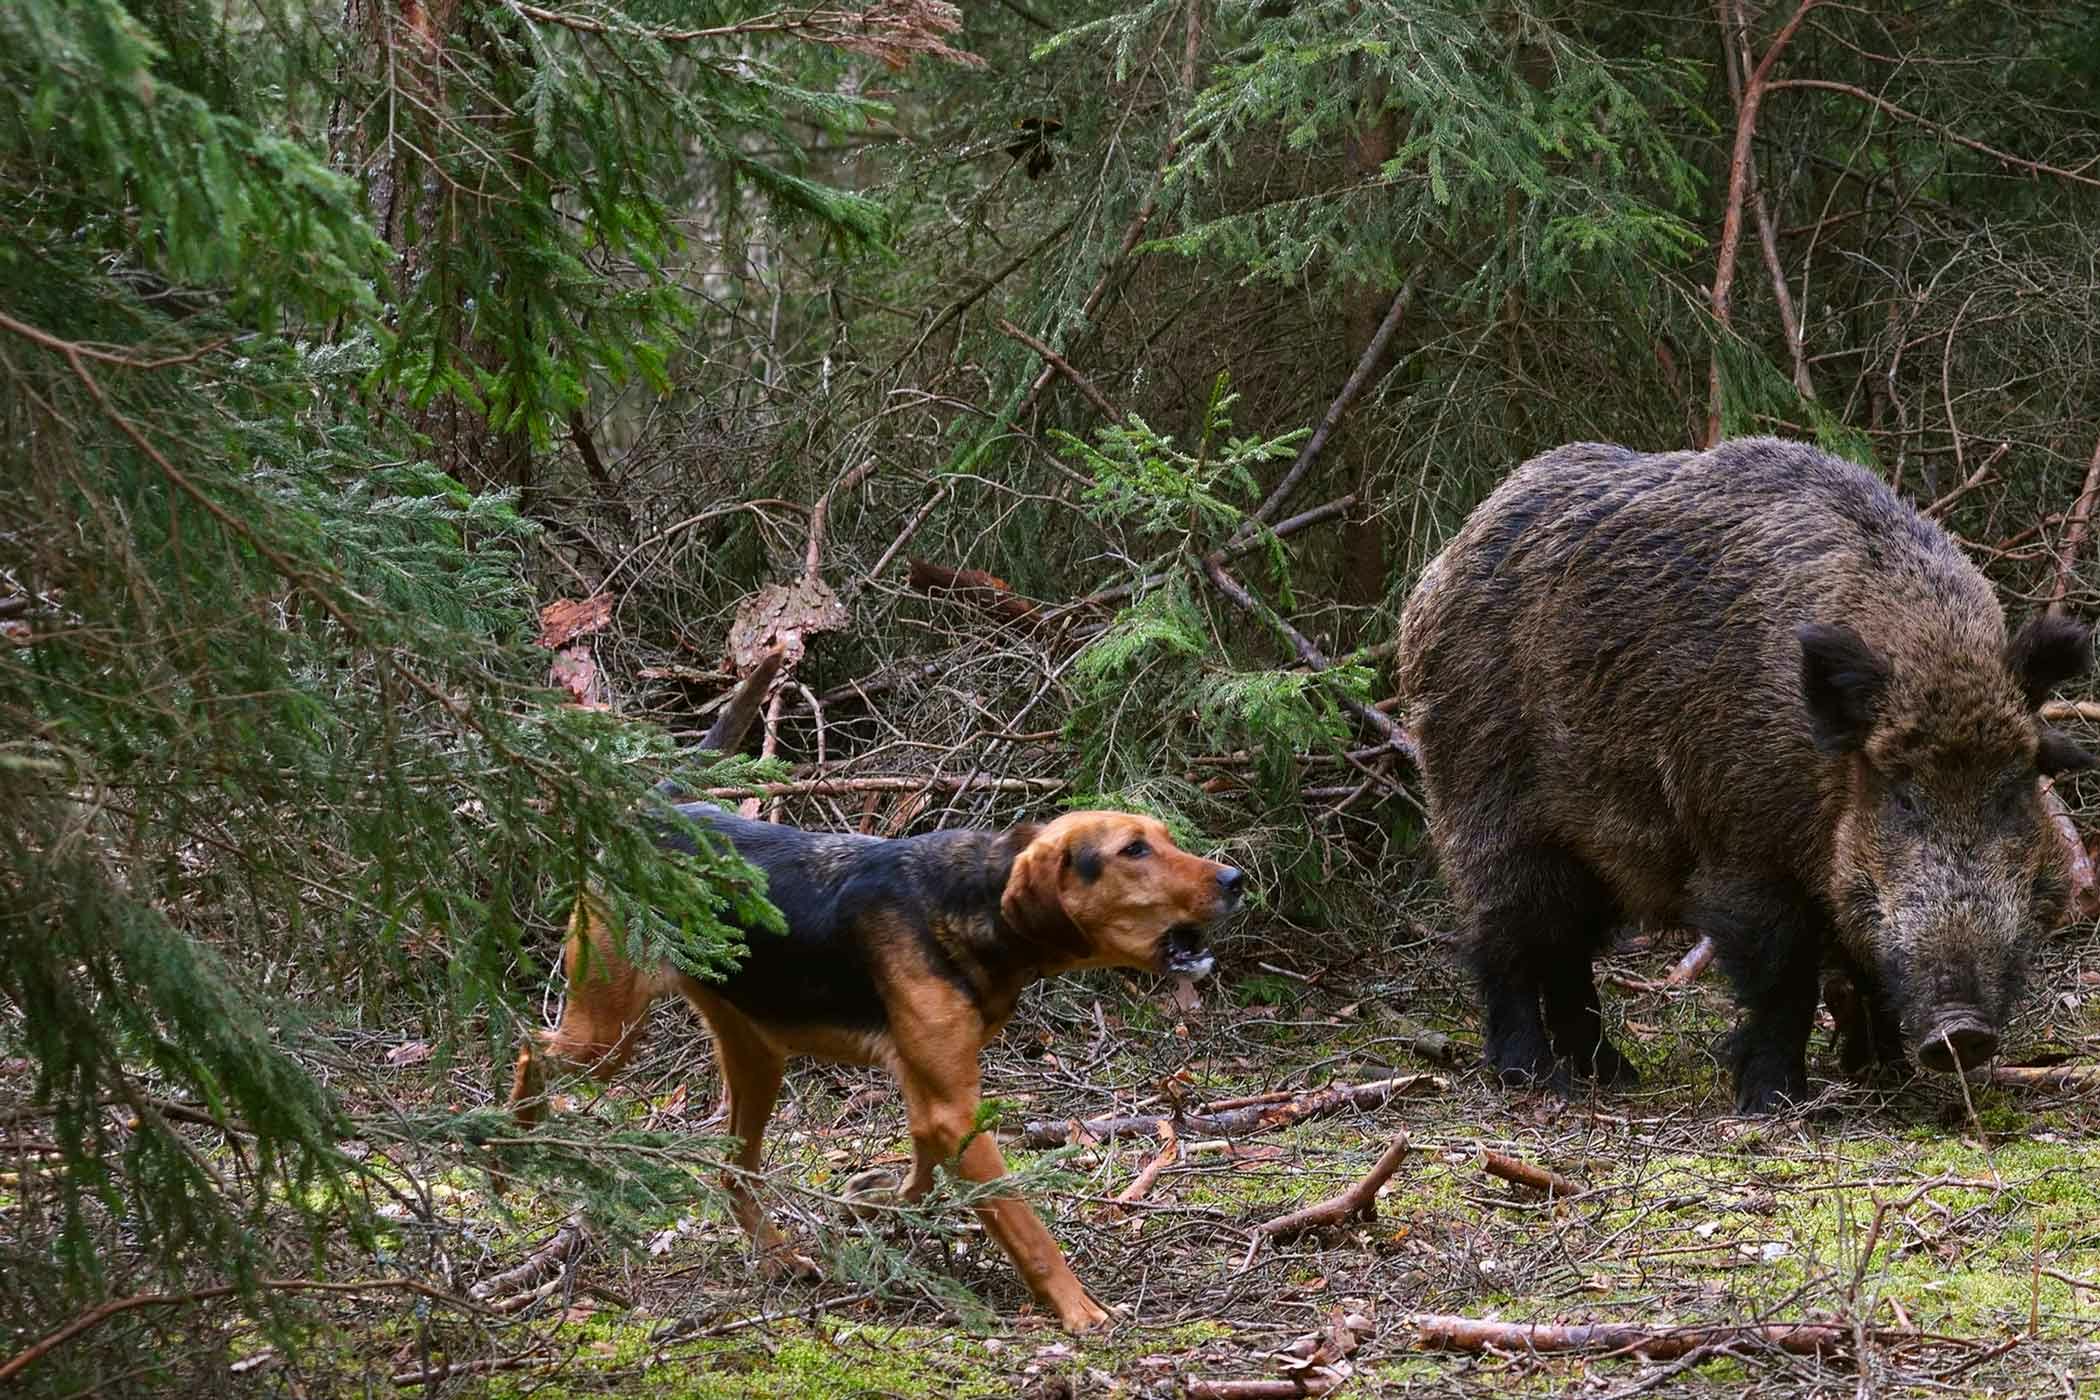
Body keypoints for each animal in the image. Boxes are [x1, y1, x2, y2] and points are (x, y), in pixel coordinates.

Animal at [508, 805, 1234, 1334]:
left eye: (1165, 839)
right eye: (1133, 851)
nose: (1234, 880)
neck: (974, 900)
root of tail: (650, 807)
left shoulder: (933, 1099)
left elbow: (919, 1179)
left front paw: (870, 1201)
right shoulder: (951, 1109)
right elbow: (1025, 1225)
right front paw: (1080, 1311)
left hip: (756, 1054)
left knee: (732, 1170)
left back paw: (780, 1258)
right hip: (606, 1035)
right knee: (528, 1045)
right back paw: (513, 1137)